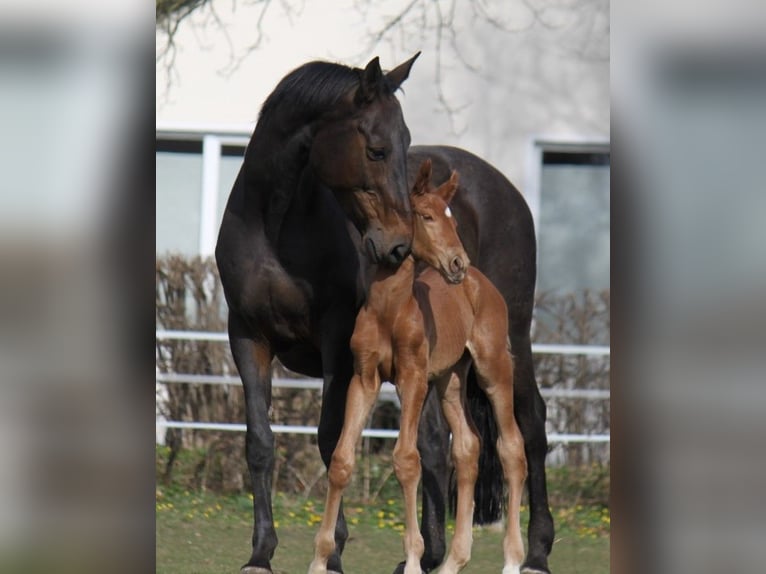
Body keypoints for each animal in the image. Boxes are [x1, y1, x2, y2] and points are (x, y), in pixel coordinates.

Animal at [308, 161, 532, 574]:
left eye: (454, 220)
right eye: (426, 216)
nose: (458, 263)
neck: (390, 311)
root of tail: (481, 283)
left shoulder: (412, 379)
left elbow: (407, 459)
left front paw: (412, 558)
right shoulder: (364, 379)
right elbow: (342, 459)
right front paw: (319, 559)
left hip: (493, 369)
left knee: (511, 448)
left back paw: (512, 560)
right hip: (450, 381)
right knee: (468, 447)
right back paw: (453, 561)